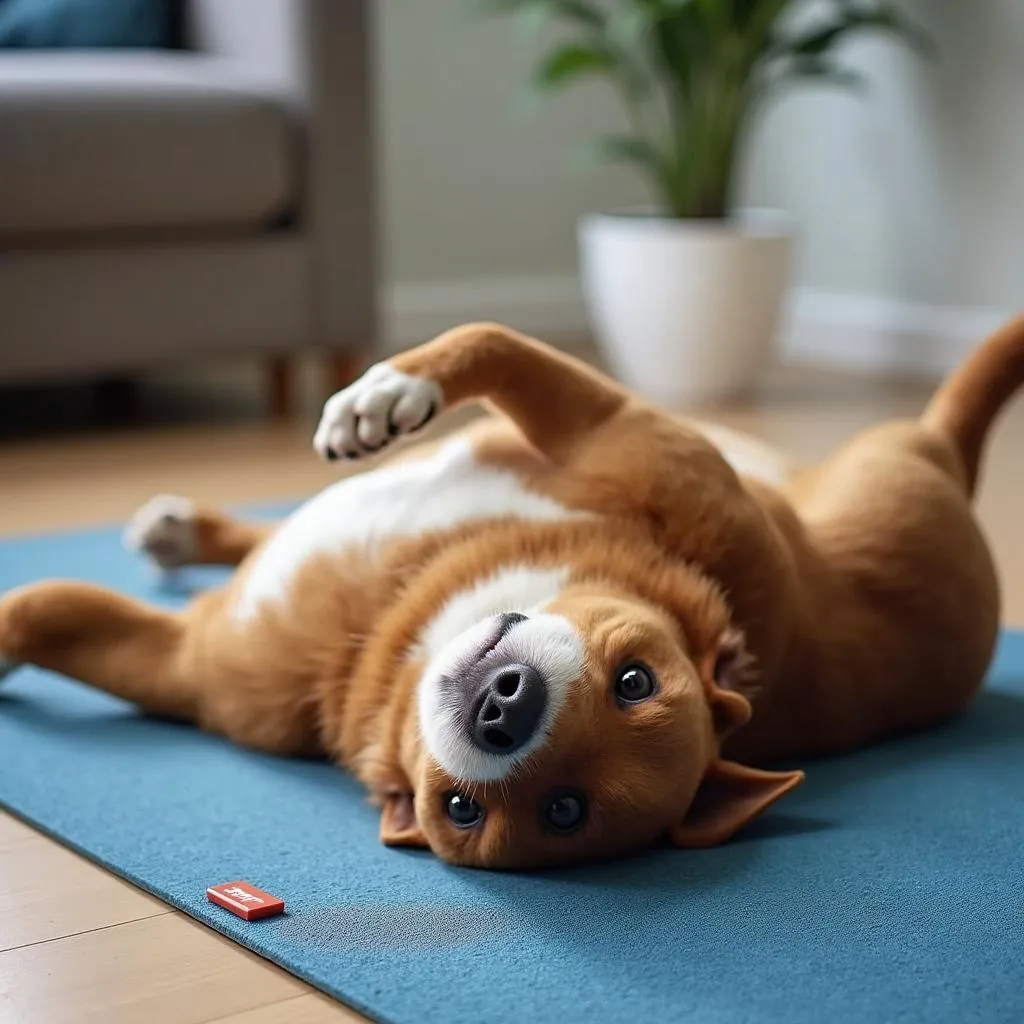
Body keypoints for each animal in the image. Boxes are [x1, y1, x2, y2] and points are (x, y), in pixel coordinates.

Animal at [2, 315, 1024, 868]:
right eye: (637, 681)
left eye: (557, 813)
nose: (505, 709)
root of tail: (944, 462)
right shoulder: (630, 437)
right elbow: (490, 341)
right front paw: (388, 391)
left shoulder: (179, 665)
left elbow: (38, 608)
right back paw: (188, 525)